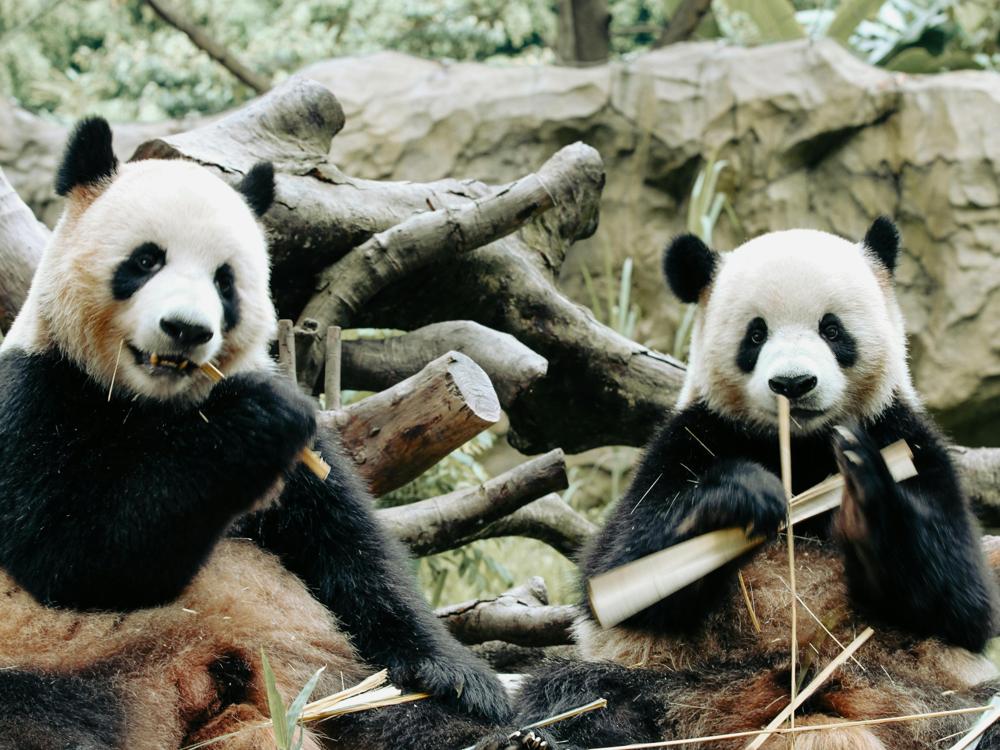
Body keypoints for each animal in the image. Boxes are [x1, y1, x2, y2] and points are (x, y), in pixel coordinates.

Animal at [0, 117, 524, 749]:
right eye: (146, 261)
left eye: (224, 281)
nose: (186, 329)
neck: (154, 404)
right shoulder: (36, 395)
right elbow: (71, 559)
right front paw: (252, 422)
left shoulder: (303, 464)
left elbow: (350, 554)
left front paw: (463, 679)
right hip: (56, 659)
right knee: (44, 716)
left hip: (321, 680)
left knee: (388, 713)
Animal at [505, 220, 1000, 750]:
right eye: (756, 333)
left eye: (832, 329)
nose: (793, 384)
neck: (800, 449)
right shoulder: (689, 439)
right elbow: (619, 570)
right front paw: (741, 496)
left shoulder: (906, 438)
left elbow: (964, 600)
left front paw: (867, 501)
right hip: (677, 683)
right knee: (581, 693)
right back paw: (540, 737)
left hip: (920, 695)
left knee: (981, 710)